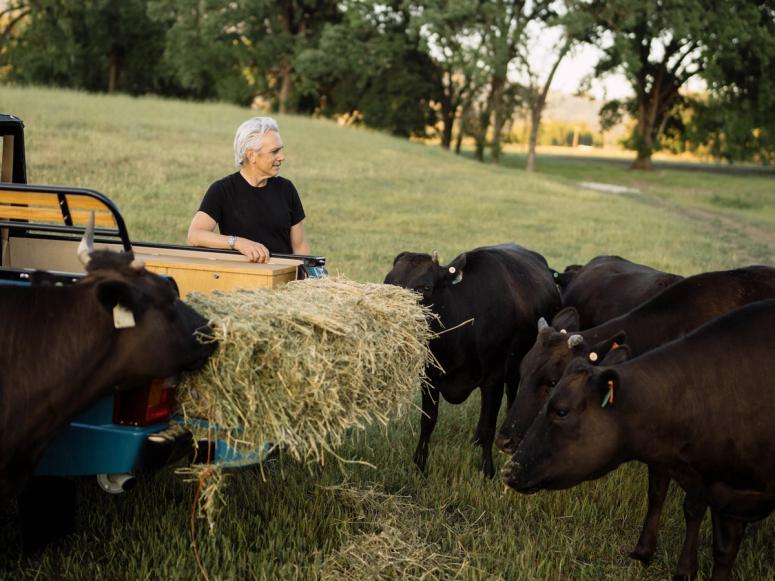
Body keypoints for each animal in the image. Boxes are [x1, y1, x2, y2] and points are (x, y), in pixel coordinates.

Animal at [384, 244, 560, 476]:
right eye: (388, 281)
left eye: (425, 287)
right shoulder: (429, 377)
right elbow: (428, 421)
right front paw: (419, 464)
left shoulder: (494, 377)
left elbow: (489, 426)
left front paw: (487, 470)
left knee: (511, 396)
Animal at [494, 268, 775, 576]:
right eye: (522, 370)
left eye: (553, 382)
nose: (505, 439)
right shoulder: (663, 452)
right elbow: (657, 493)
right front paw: (644, 549)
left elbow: (693, 509)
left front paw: (685, 568)